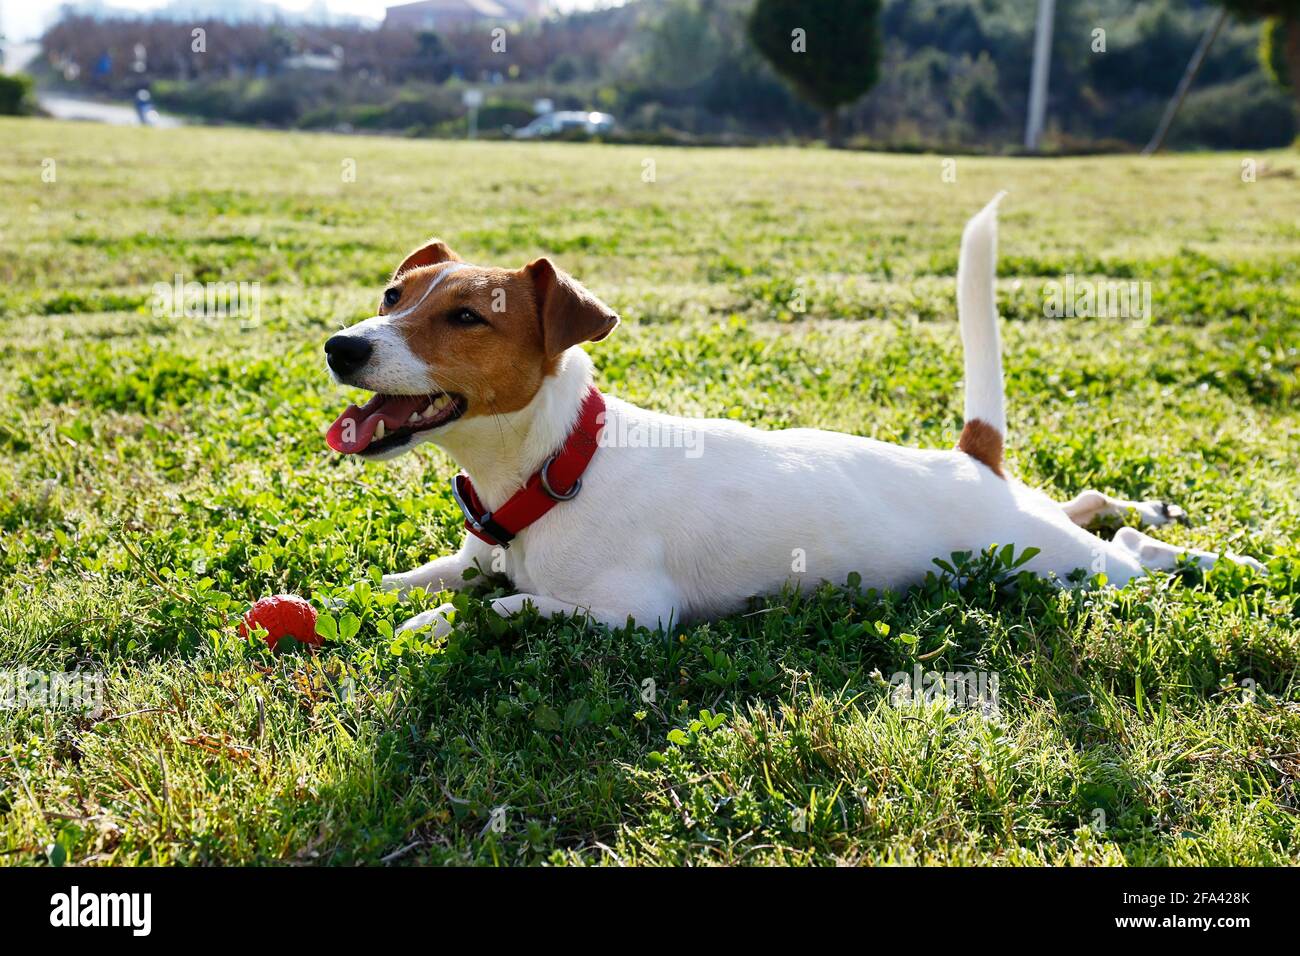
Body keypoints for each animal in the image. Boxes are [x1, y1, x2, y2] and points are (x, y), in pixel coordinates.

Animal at [322, 193, 1258, 634]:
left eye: (466, 318)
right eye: (394, 294)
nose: (341, 346)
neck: (557, 465)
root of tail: (972, 457)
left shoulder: (634, 615)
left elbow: (504, 610)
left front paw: (432, 623)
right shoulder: (478, 556)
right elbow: (431, 576)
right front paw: (366, 594)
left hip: (1057, 569)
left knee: (1129, 554)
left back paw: (1220, 557)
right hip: (1043, 535)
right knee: (1094, 507)